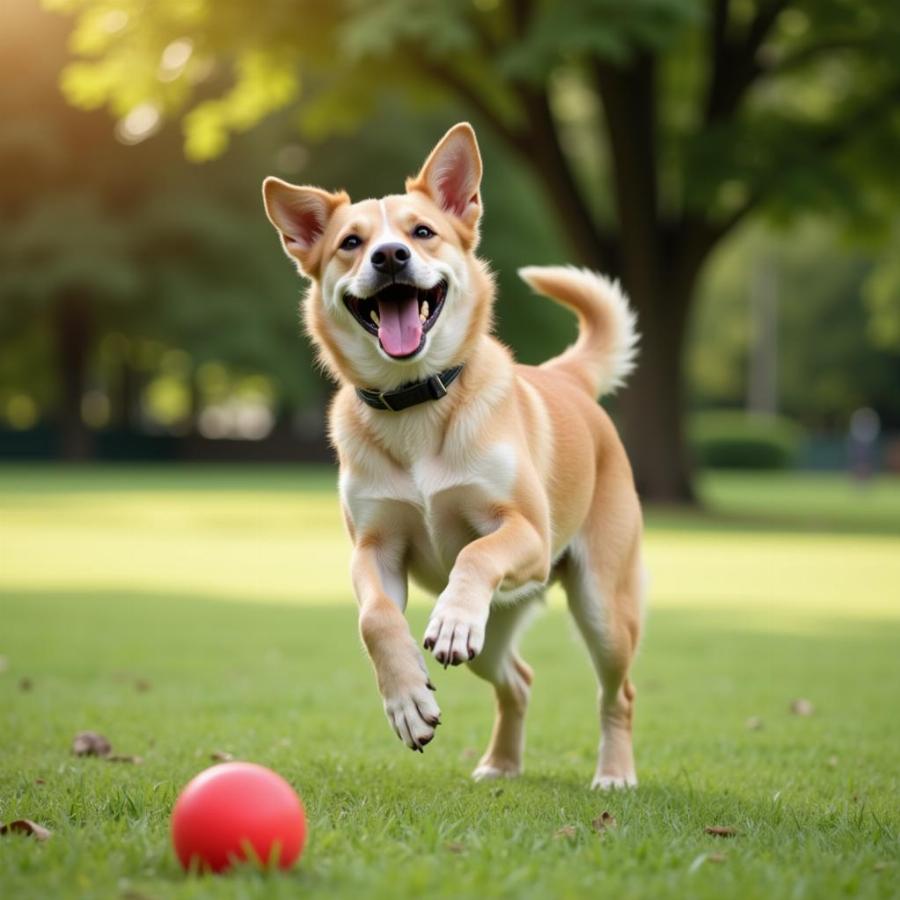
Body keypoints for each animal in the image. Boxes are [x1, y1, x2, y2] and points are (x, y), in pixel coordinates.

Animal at [264, 121, 644, 788]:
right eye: (351, 243)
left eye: (422, 232)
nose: (390, 256)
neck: (416, 404)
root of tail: (565, 378)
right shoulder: (374, 548)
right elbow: (375, 619)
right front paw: (407, 701)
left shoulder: (527, 533)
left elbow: (475, 553)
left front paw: (451, 617)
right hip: (500, 633)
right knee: (518, 679)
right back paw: (501, 764)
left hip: (601, 602)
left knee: (616, 693)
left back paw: (615, 774)